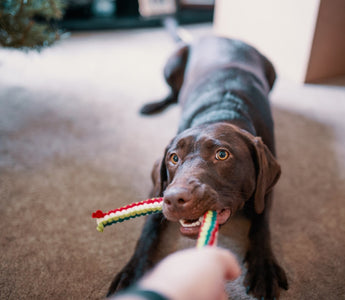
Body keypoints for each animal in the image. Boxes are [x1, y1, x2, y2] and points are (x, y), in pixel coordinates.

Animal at [107, 36, 288, 298]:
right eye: (174, 158)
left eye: (222, 155)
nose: (175, 199)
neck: (221, 111)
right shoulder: (160, 187)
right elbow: (148, 229)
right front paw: (133, 271)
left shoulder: (265, 188)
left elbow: (261, 222)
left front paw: (263, 266)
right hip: (172, 62)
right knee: (173, 94)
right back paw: (153, 105)